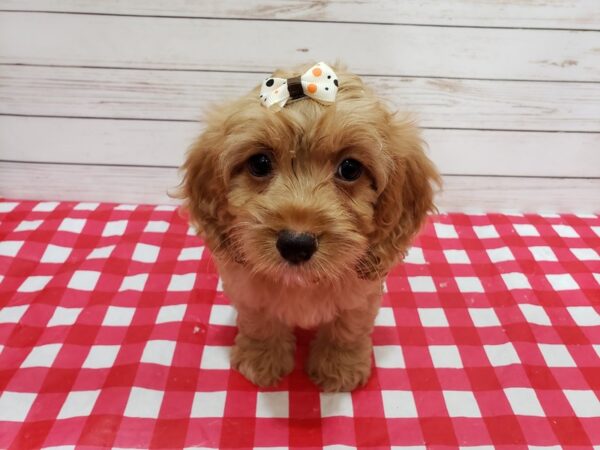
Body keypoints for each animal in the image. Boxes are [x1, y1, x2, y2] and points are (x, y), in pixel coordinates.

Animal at [180, 61, 438, 392]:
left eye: (350, 168)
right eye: (260, 163)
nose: (295, 244)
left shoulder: (361, 297)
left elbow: (347, 329)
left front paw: (340, 369)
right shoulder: (248, 292)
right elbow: (259, 324)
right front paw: (260, 361)